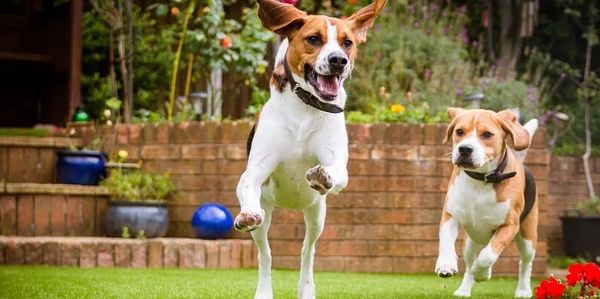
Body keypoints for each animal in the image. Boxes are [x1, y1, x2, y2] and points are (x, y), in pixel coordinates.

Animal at [232, 0, 386, 299]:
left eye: (347, 43)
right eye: (313, 39)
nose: (339, 60)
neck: (305, 107)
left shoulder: (338, 166)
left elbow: (336, 173)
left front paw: (322, 176)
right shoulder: (255, 173)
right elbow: (247, 182)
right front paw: (247, 213)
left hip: (317, 215)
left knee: (307, 252)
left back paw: (306, 288)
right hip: (266, 212)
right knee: (265, 254)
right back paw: (264, 289)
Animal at [434, 107, 540, 298]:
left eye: (487, 134)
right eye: (459, 132)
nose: (465, 149)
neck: (481, 179)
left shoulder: (509, 226)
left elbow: (488, 255)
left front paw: (483, 273)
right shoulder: (450, 215)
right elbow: (445, 241)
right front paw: (446, 264)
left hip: (528, 238)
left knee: (525, 263)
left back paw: (523, 290)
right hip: (470, 243)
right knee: (469, 265)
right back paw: (464, 289)